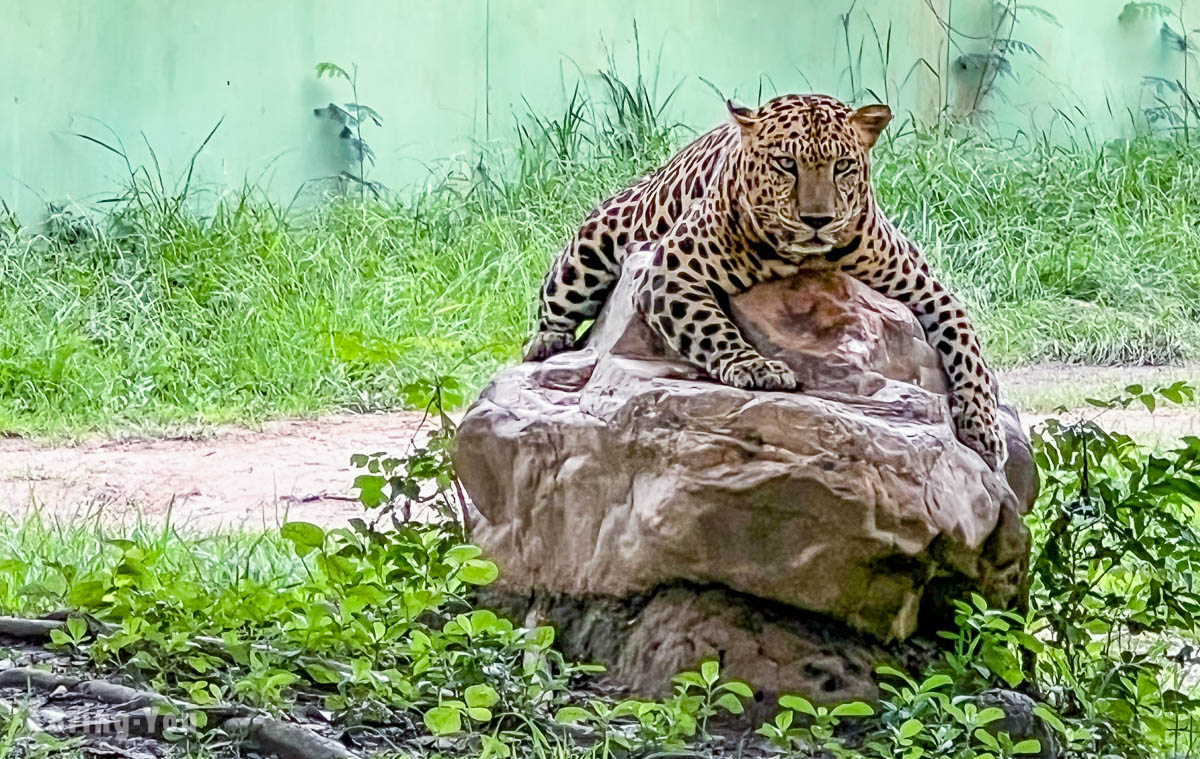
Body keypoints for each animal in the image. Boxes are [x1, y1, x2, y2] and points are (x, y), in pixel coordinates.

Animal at [525, 90, 1003, 468]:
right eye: (786, 164)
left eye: (843, 166)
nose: (817, 220)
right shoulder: (670, 271)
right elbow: (712, 327)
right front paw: (758, 368)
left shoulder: (928, 289)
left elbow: (968, 349)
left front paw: (983, 427)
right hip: (595, 242)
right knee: (556, 300)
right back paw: (548, 346)